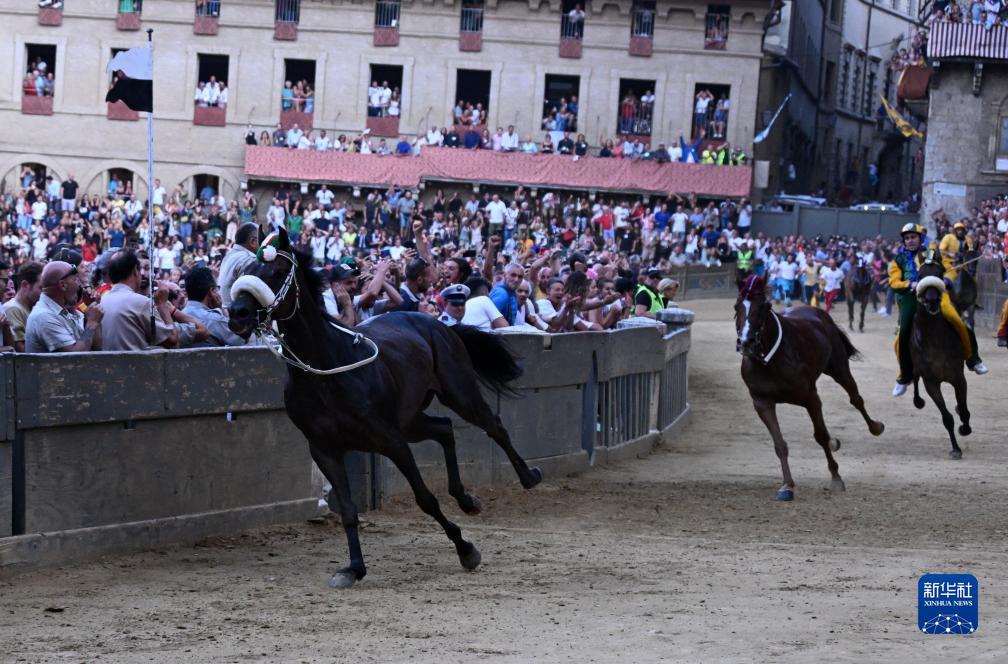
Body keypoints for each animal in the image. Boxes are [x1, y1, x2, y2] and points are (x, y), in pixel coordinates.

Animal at [226, 227, 543, 588]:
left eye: (277, 270)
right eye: (245, 268)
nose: (237, 313)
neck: (327, 370)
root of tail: (438, 324)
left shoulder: (389, 440)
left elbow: (425, 498)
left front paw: (466, 549)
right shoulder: (325, 449)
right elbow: (349, 511)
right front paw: (352, 568)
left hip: (457, 393)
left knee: (492, 425)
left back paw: (528, 477)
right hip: (411, 419)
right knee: (444, 429)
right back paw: (465, 498)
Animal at [735, 275, 884, 501]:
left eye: (763, 307)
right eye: (737, 306)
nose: (746, 342)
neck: (770, 361)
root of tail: (817, 312)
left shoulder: (810, 397)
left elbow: (820, 435)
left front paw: (836, 478)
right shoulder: (762, 401)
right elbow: (779, 444)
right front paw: (787, 486)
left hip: (838, 367)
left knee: (855, 398)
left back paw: (874, 426)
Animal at [910, 260, 971, 459]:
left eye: (940, 273)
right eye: (920, 275)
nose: (932, 301)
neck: (935, 339)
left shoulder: (958, 377)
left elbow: (964, 410)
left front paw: (964, 428)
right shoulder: (931, 382)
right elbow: (946, 417)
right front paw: (956, 449)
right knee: (914, 376)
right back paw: (918, 400)